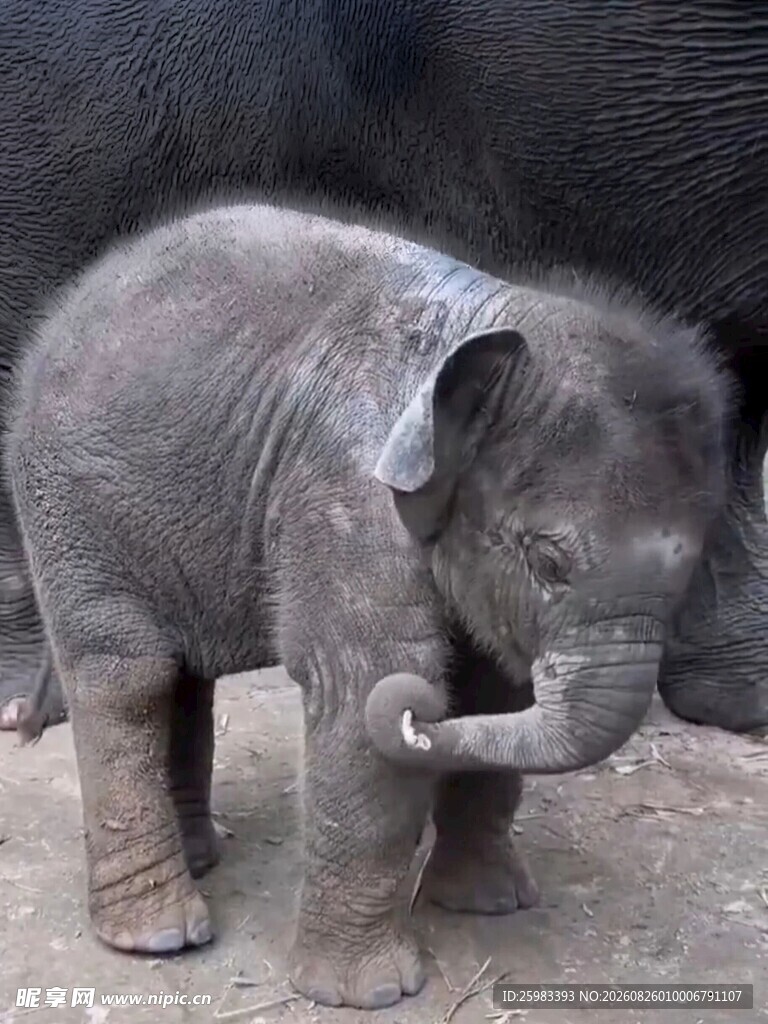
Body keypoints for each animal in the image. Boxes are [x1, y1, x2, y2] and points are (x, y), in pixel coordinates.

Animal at [7, 203, 728, 1008]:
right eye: (548, 561)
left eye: (690, 571)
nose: (420, 718)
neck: (491, 321)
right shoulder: (343, 490)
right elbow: (365, 683)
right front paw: (370, 993)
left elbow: (496, 685)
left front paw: (486, 905)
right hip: (67, 506)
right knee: (128, 678)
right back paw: (159, 936)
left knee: (179, 677)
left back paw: (199, 865)